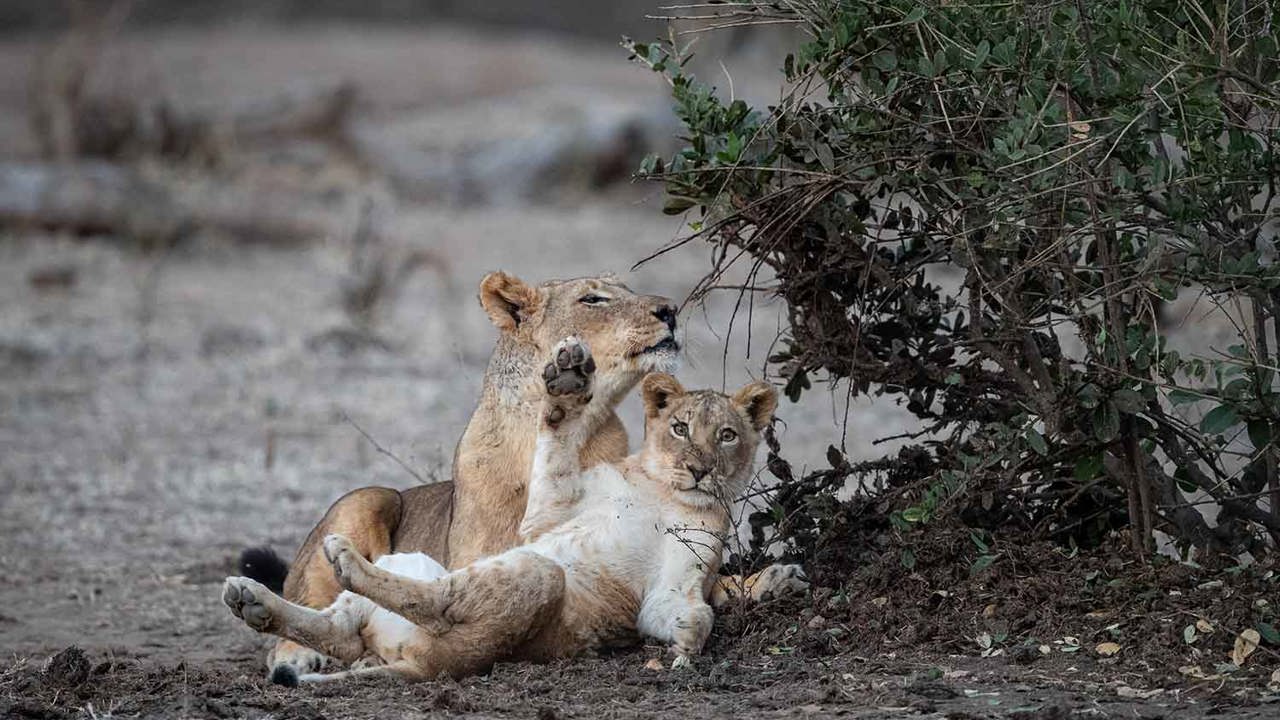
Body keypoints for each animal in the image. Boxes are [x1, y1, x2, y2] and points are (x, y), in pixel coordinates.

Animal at [247, 272, 806, 684]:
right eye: (594, 298)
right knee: (311, 610)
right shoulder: (491, 548)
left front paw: (768, 580)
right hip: (368, 498)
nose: (670, 309)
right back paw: (295, 651)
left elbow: (706, 589)